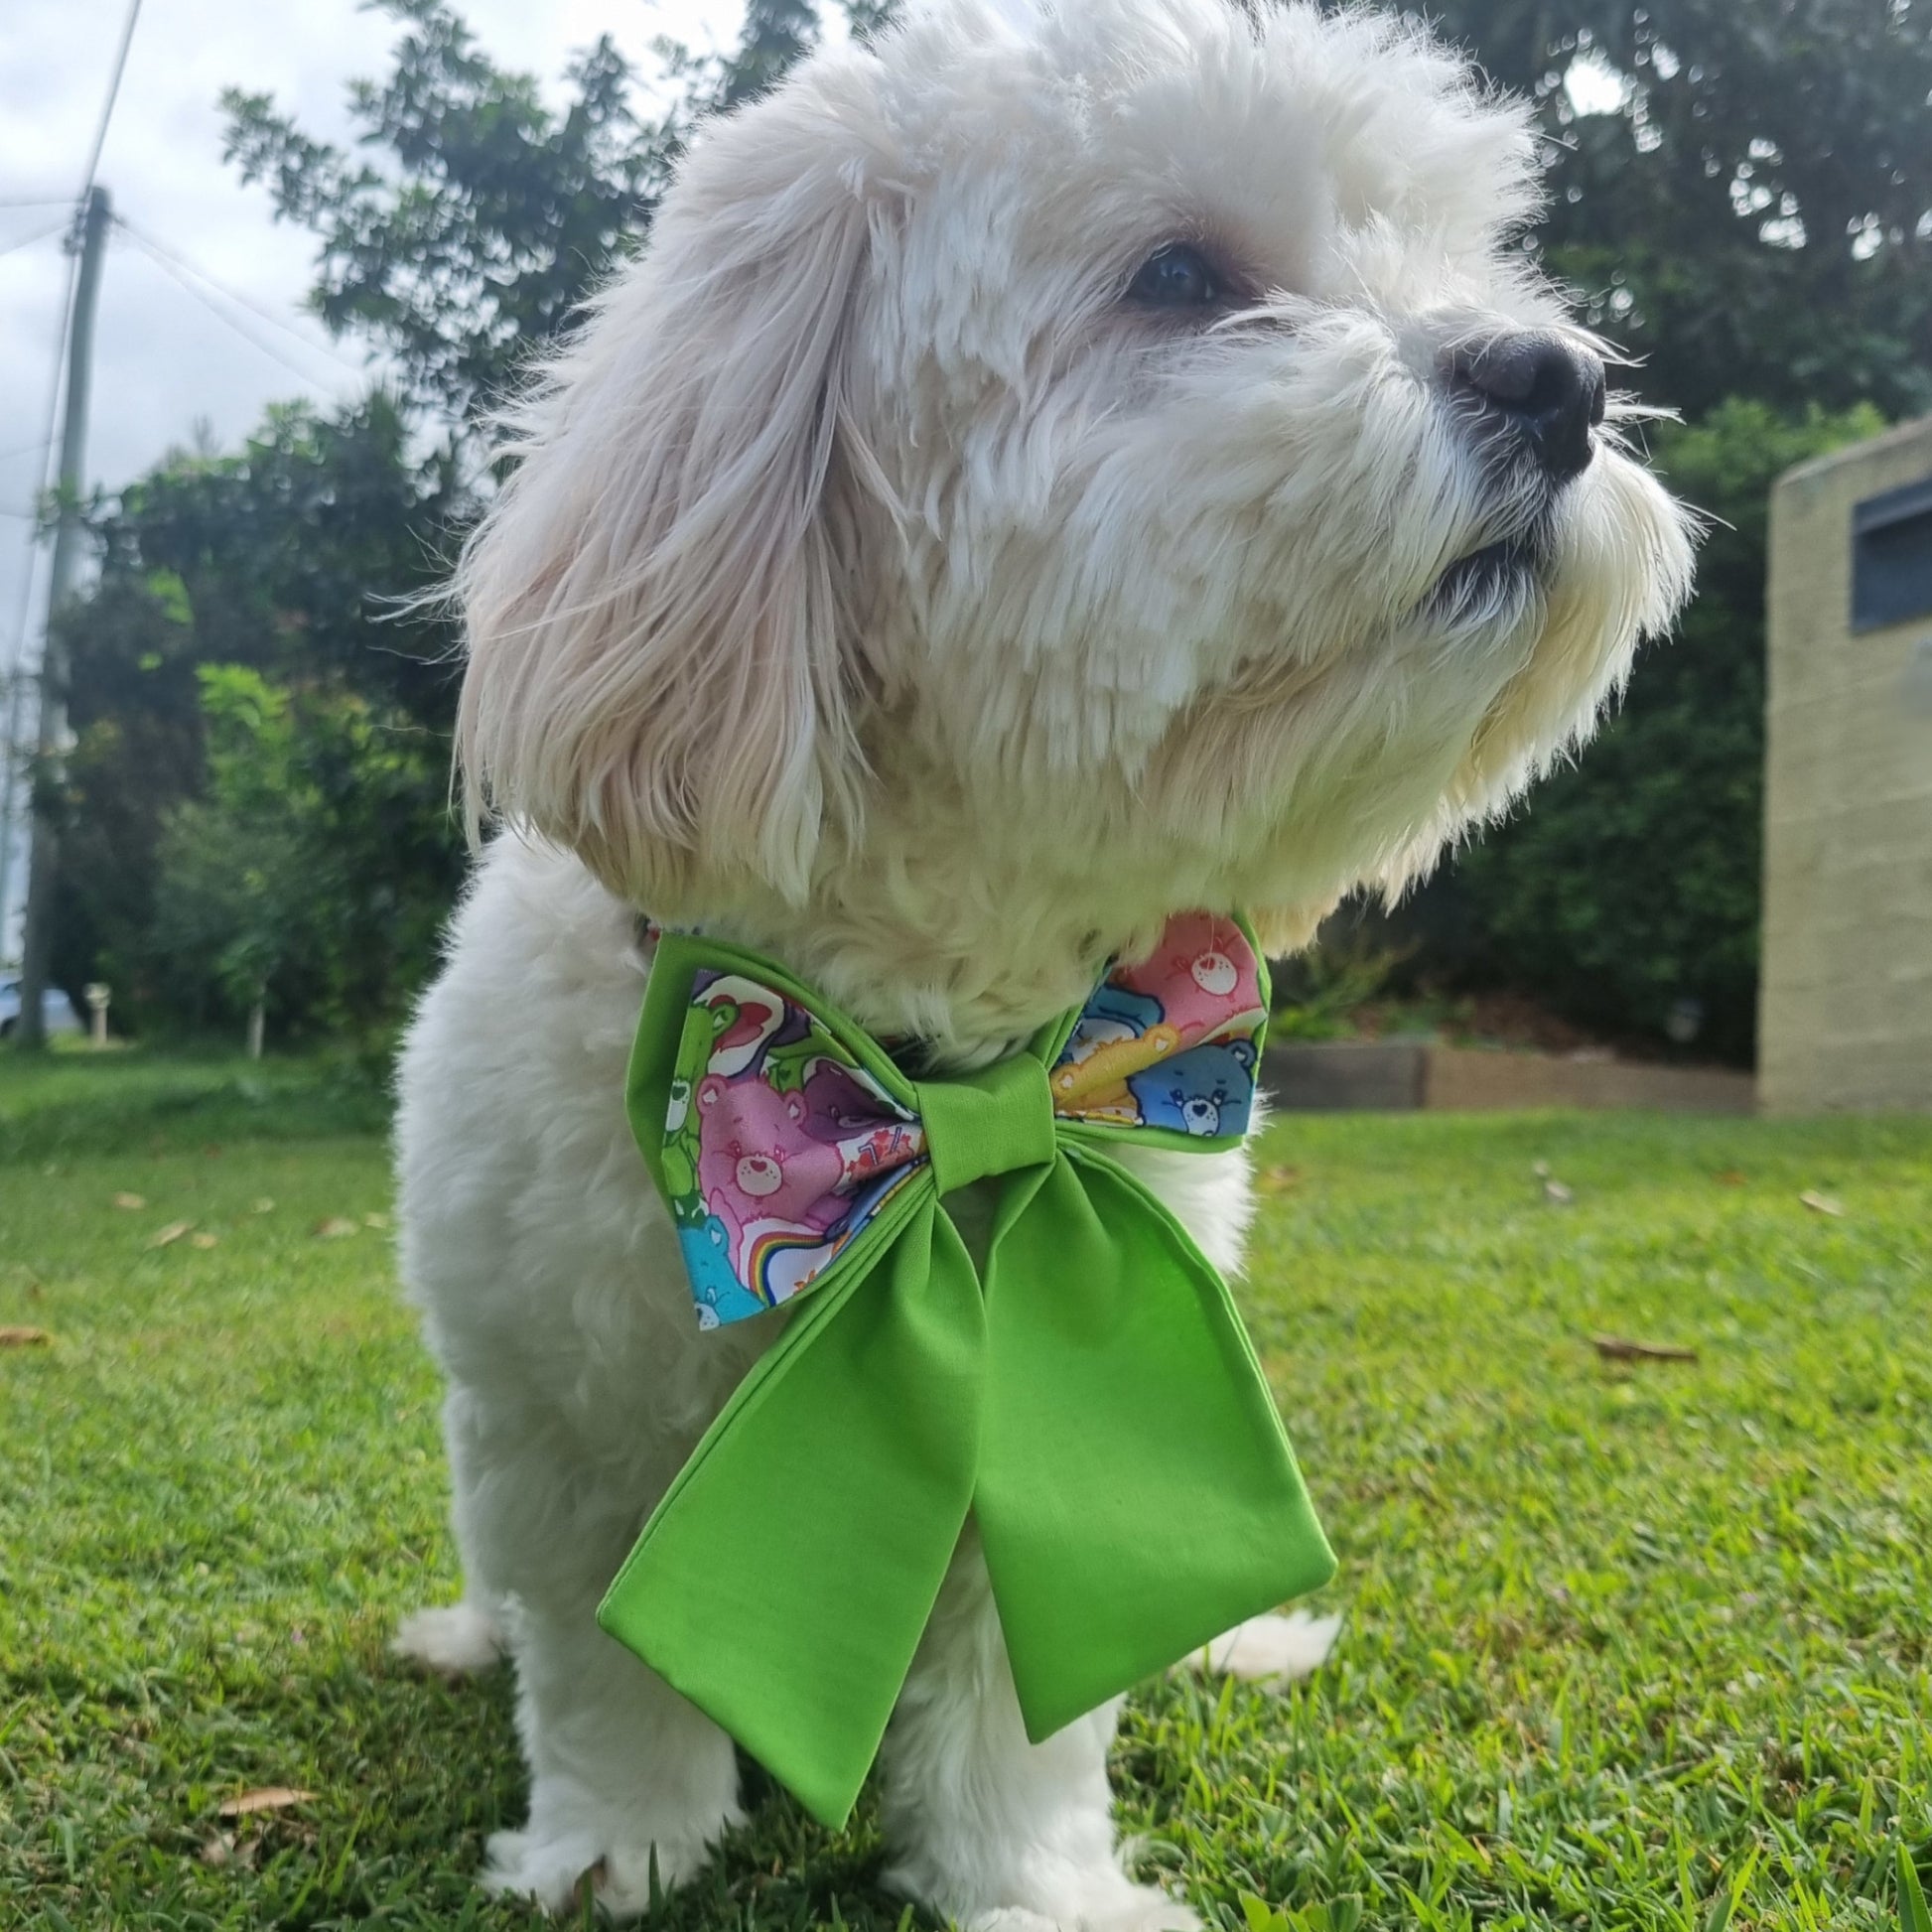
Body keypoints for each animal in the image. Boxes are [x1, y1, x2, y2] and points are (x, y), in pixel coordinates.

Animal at [392, 0, 1692, 1924]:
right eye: (1179, 276)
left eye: (1456, 258)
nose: (1556, 379)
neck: (932, 1080)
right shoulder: (560, 1429)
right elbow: (604, 1668)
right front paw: (610, 1845)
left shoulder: (1059, 1423)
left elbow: (1024, 1706)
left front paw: (1034, 1887)